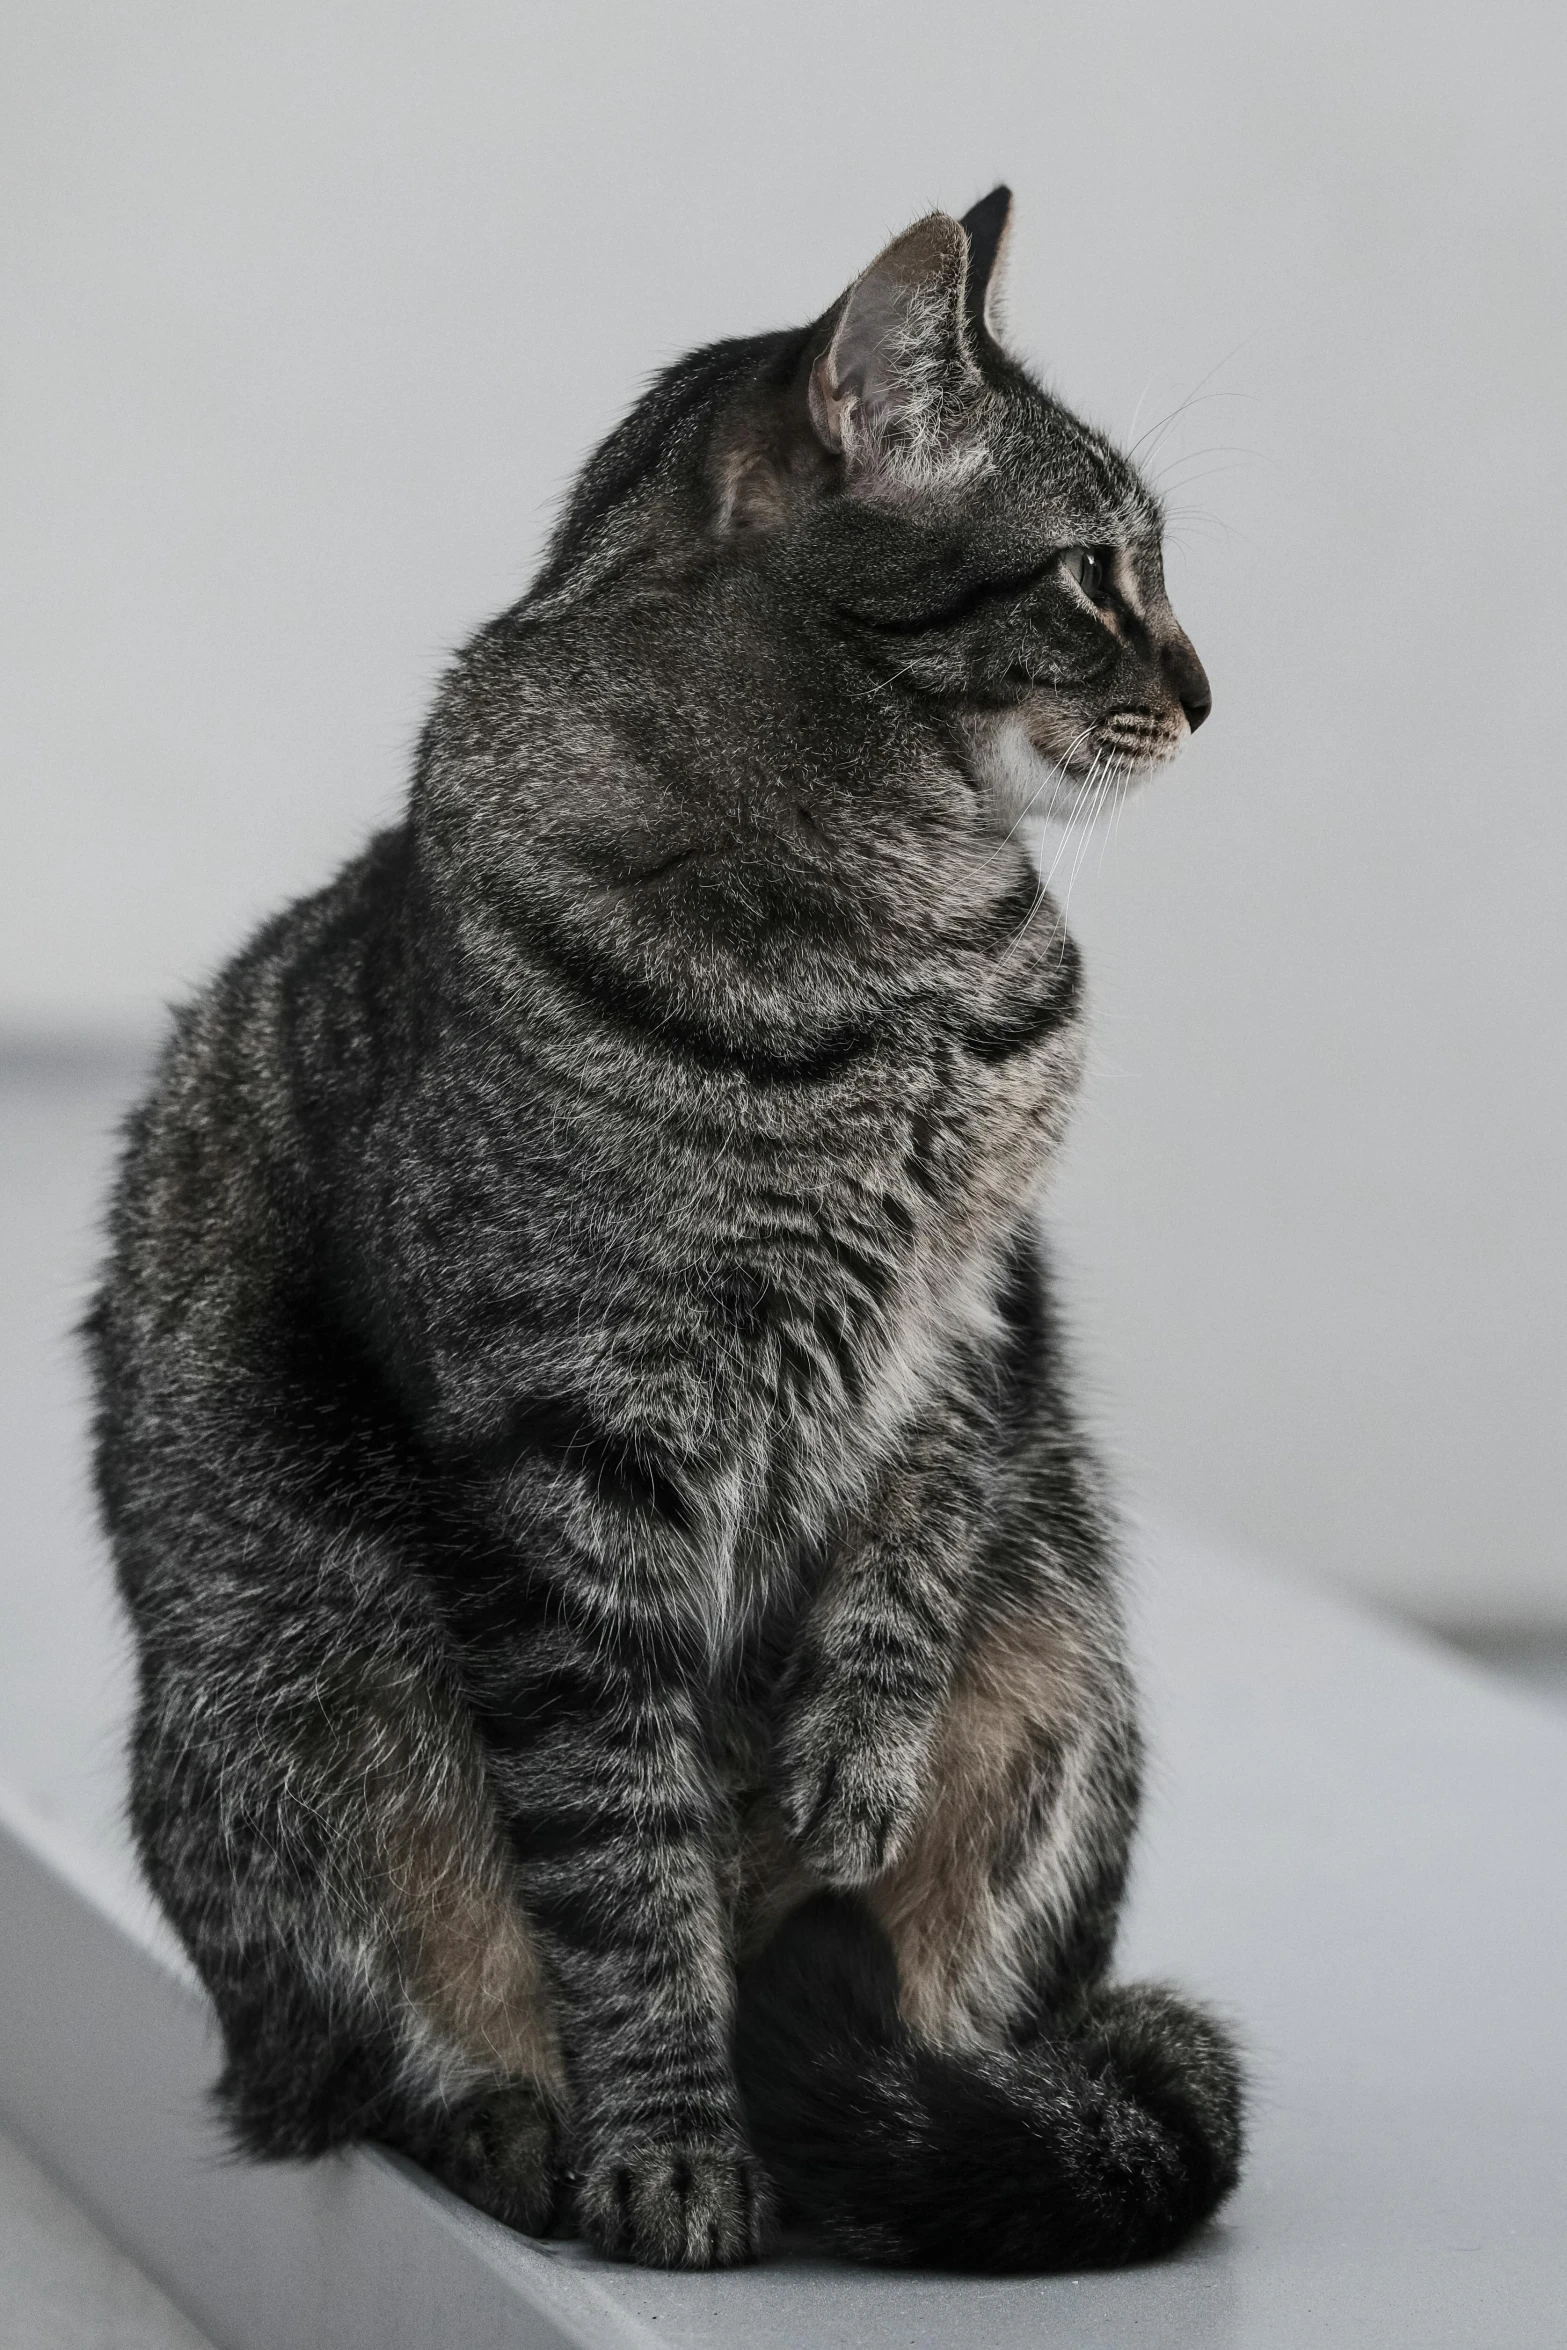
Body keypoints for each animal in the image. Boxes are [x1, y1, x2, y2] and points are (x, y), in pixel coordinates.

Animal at [88, 192, 1240, 2265]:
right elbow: (628, 1872)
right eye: (1098, 573)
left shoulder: (966, 1325)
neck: (911, 958)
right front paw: (669, 2155)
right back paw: (521, 2130)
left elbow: (906, 1563)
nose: (1206, 691)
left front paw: (855, 1765)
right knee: (344, 2061)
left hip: (1064, 1661)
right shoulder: (567, 1455)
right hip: (288, 1717)